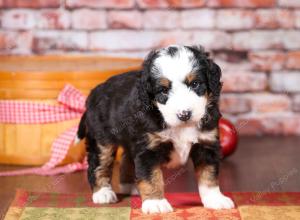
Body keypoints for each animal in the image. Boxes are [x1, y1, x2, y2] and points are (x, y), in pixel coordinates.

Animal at [77, 45, 234, 214]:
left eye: (195, 84)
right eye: (163, 90)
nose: (184, 114)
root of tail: (94, 93)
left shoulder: (207, 144)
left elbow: (209, 175)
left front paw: (215, 199)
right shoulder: (148, 149)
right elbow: (151, 177)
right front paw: (155, 203)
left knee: (127, 160)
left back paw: (130, 187)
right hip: (101, 139)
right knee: (99, 164)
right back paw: (103, 193)